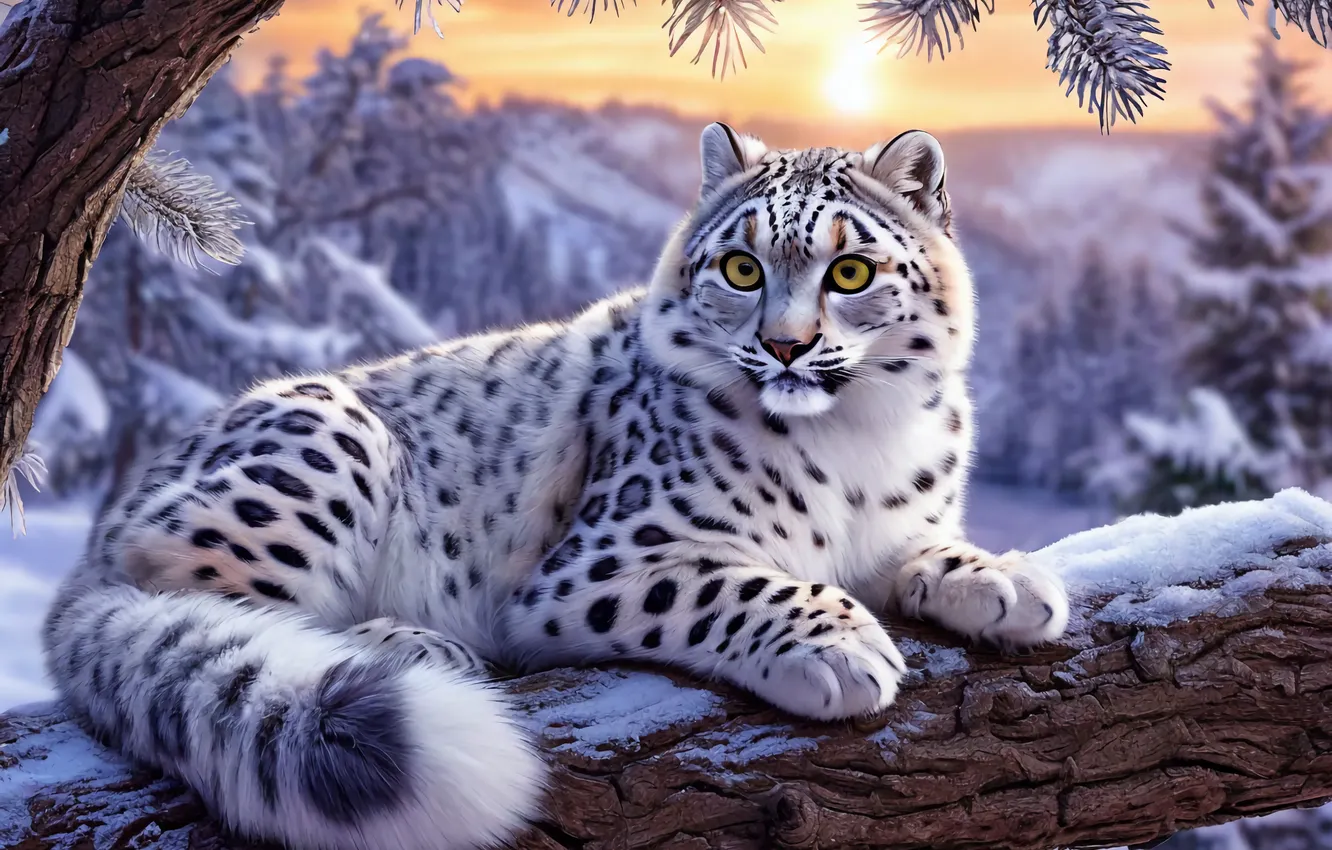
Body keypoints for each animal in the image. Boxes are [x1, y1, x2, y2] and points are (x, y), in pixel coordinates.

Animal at [42, 123, 1069, 850]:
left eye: (850, 269)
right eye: (742, 266)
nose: (785, 346)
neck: (862, 443)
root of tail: (95, 542)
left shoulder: (897, 518)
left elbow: (921, 545)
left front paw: (1004, 579)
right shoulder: (608, 559)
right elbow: (737, 581)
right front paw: (839, 646)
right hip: (324, 445)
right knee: (197, 590)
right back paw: (413, 643)